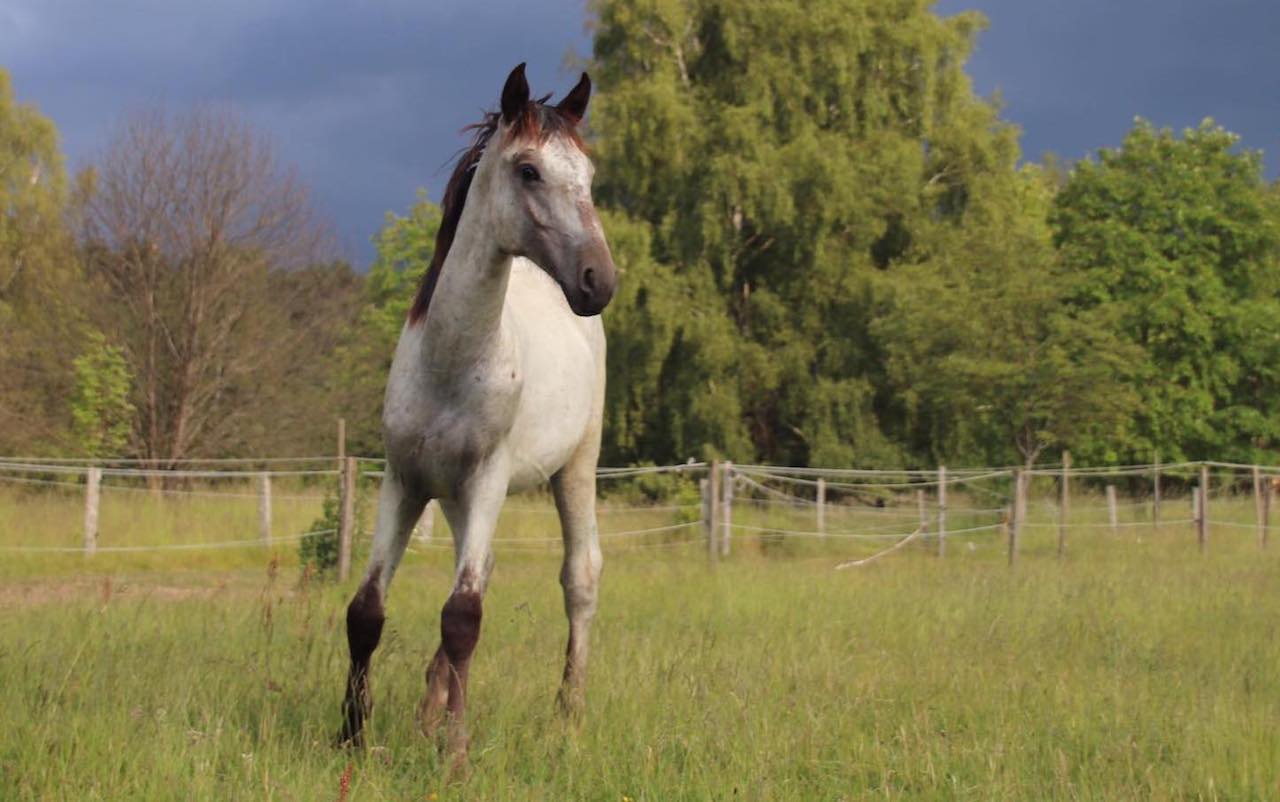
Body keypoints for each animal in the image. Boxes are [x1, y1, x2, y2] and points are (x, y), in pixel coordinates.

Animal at [335, 64, 619, 767]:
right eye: (528, 170)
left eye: (588, 175)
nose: (598, 280)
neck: (454, 363)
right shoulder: (405, 482)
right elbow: (367, 610)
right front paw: (351, 734)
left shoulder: (487, 481)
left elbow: (463, 617)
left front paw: (456, 755)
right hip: (452, 499)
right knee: (480, 576)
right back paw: (427, 713)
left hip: (574, 468)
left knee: (579, 579)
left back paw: (566, 718)